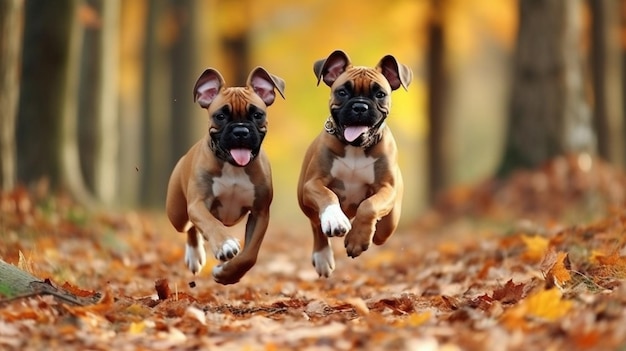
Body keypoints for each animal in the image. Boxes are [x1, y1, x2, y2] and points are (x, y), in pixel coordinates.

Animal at [165, 66, 284, 286]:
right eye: (220, 116)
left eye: (257, 114)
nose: (240, 130)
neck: (233, 166)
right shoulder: (198, 204)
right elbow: (210, 223)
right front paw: (225, 244)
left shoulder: (260, 213)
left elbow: (249, 256)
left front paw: (227, 274)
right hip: (177, 214)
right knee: (190, 226)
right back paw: (194, 255)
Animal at [296, 51, 412, 280]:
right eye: (342, 92)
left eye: (380, 94)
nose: (360, 106)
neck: (356, 147)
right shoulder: (312, 184)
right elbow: (328, 196)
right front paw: (335, 219)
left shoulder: (387, 188)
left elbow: (369, 206)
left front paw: (357, 238)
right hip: (304, 200)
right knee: (316, 224)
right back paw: (323, 256)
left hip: (390, 221)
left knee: (381, 232)